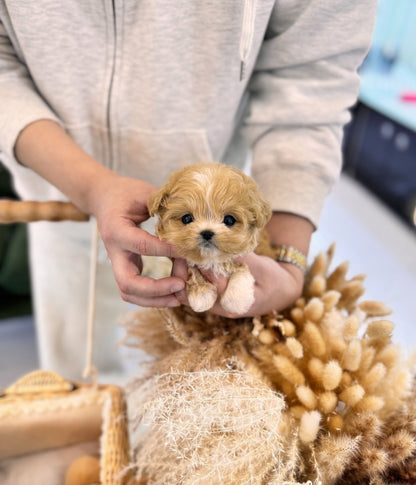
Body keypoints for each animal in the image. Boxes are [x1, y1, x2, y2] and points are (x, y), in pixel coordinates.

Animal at [148, 163, 272, 314]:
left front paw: (237, 302)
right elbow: (193, 269)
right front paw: (201, 295)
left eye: (229, 220)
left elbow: (242, 271)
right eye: (187, 219)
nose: (207, 233)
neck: (212, 261)